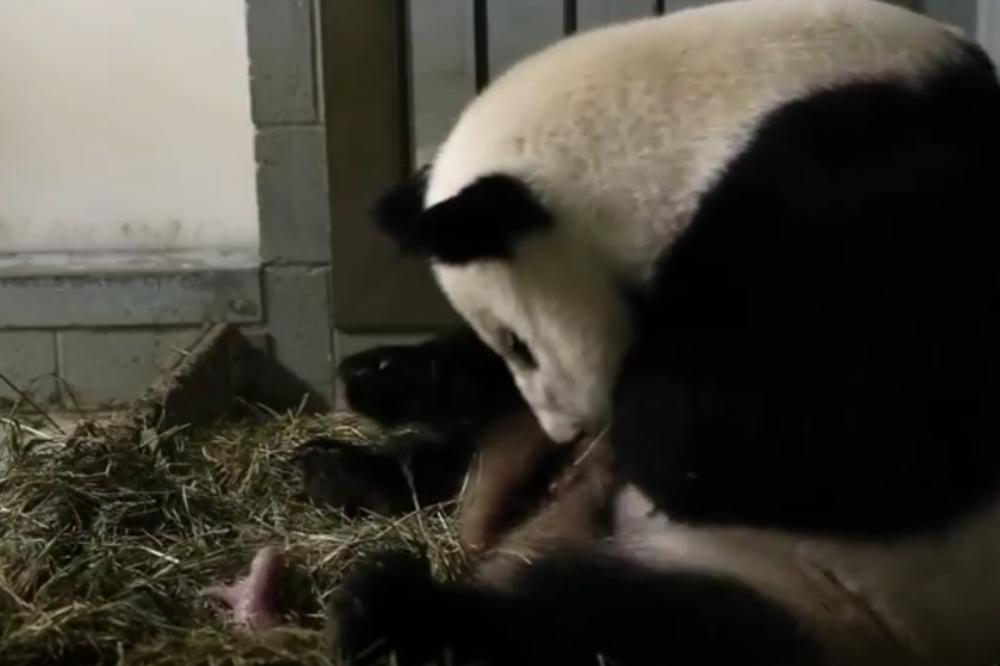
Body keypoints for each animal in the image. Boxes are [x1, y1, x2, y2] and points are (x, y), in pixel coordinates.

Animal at [326, 1, 1000, 664]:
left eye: (520, 343)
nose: (566, 430)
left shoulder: (865, 200)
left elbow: (855, 425)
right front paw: (383, 373)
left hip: (818, 595)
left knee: (611, 626)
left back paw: (393, 609)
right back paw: (346, 472)